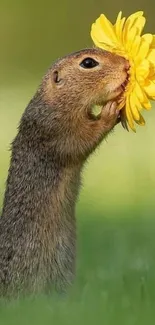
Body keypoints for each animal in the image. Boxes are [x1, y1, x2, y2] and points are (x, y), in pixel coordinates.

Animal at [0, 46, 128, 298]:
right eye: (88, 63)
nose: (127, 65)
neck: (55, 100)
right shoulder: (56, 129)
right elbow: (82, 140)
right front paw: (109, 111)